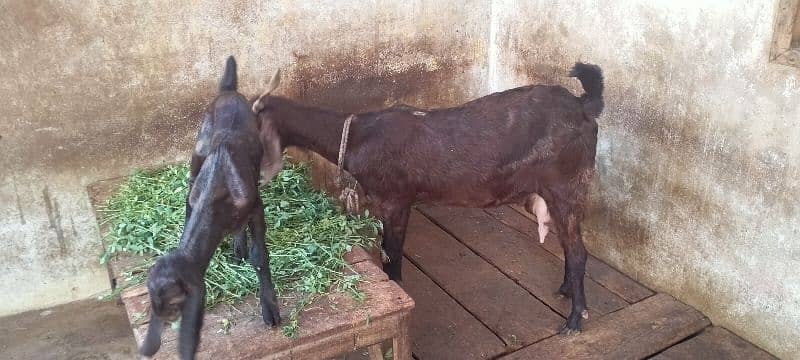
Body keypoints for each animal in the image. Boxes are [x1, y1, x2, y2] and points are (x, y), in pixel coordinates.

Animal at [253, 62, 604, 334]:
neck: (358, 138)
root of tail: (584, 106)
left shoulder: (397, 200)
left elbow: (392, 252)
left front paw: (396, 286)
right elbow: (386, 248)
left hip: (566, 186)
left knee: (578, 253)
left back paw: (575, 320)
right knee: (568, 246)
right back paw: (565, 290)